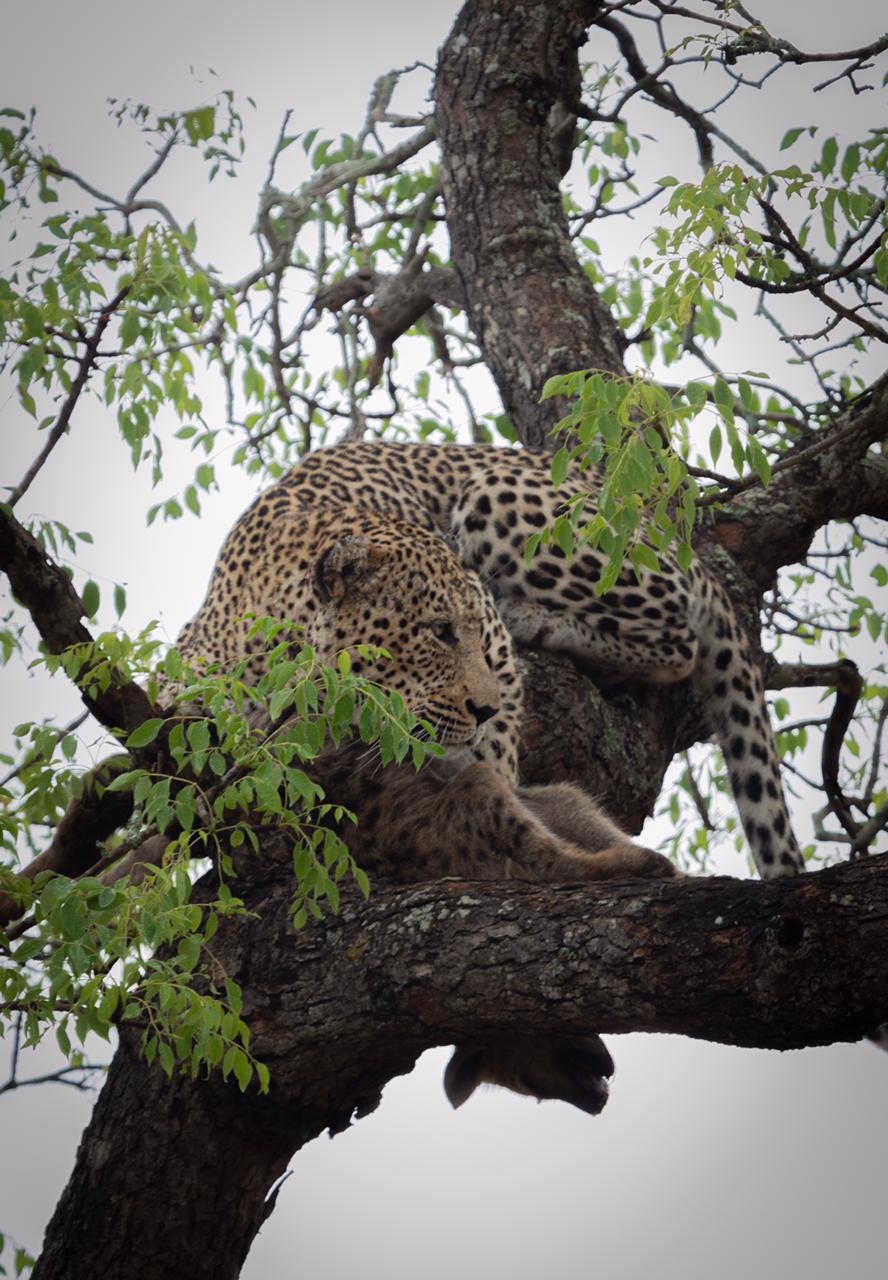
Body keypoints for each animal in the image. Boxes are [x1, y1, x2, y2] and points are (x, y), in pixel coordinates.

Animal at [172, 440, 808, 1111]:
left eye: (472, 633)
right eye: (438, 633)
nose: (478, 709)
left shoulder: (497, 659)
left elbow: (496, 753)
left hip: (508, 506)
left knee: (678, 640)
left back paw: (547, 624)